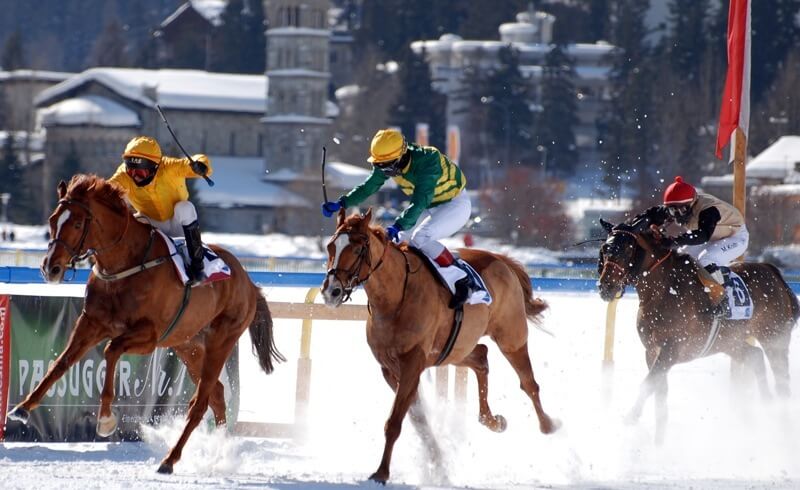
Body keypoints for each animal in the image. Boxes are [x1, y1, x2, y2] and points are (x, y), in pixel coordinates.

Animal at [3, 174, 282, 472]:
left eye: (77, 223)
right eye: (53, 219)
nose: (50, 268)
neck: (126, 265)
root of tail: (249, 282)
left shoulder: (149, 336)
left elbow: (111, 350)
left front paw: (105, 420)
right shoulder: (90, 322)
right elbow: (61, 362)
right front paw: (22, 407)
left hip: (222, 340)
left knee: (200, 404)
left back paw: (170, 459)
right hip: (189, 346)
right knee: (216, 395)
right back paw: (220, 450)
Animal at [318, 208, 556, 486]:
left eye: (357, 249)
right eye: (330, 246)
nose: (331, 292)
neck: (395, 297)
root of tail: (502, 260)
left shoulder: (412, 362)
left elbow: (395, 421)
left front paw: (382, 473)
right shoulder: (390, 368)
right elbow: (417, 419)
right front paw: (438, 464)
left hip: (511, 337)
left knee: (529, 383)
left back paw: (548, 425)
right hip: (456, 348)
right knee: (481, 357)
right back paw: (493, 420)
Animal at [596, 220, 796, 442]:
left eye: (626, 250)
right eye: (604, 249)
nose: (606, 287)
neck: (663, 291)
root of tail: (774, 273)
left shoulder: (672, 350)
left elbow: (648, 384)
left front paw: (631, 416)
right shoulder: (652, 350)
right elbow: (659, 390)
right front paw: (659, 438)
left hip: (774, 339)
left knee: (782, 380)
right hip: (731, 342)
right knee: (756, 357)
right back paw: (766, 404)